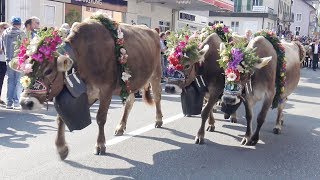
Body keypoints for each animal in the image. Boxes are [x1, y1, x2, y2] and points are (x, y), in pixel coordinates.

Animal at [11, 13, 164, 160]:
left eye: (48, 71)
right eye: (26, 68)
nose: (26, 102)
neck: (83, 56)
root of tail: (152, 30)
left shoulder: (106, 90)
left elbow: (101, 118)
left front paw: (100, 145)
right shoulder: (87, 93)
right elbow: (61, 118)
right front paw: (61, 148)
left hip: (156, 74)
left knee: (157, 97)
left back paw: (158, 120)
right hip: (130, 82)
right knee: (130, 102)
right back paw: (121, 127)